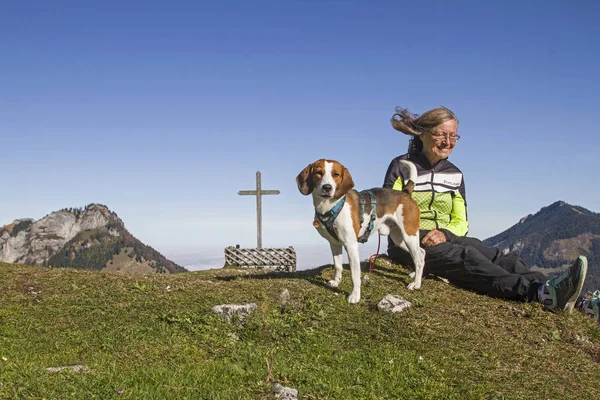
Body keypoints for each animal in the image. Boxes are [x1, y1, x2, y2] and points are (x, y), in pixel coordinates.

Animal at [296, 159, 426, 304]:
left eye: (336, 174)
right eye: (318, 172)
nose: (327, 187)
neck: (330, 206)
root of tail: (405, 192)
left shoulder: (351, 245)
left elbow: (354, 275)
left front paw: (355, 296)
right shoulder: (334, 243)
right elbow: (338, 265)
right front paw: (336, 282)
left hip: (409, 235)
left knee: (418, 259)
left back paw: (416, 283)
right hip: (399, 238)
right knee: (421, 253)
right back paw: (415, 275)